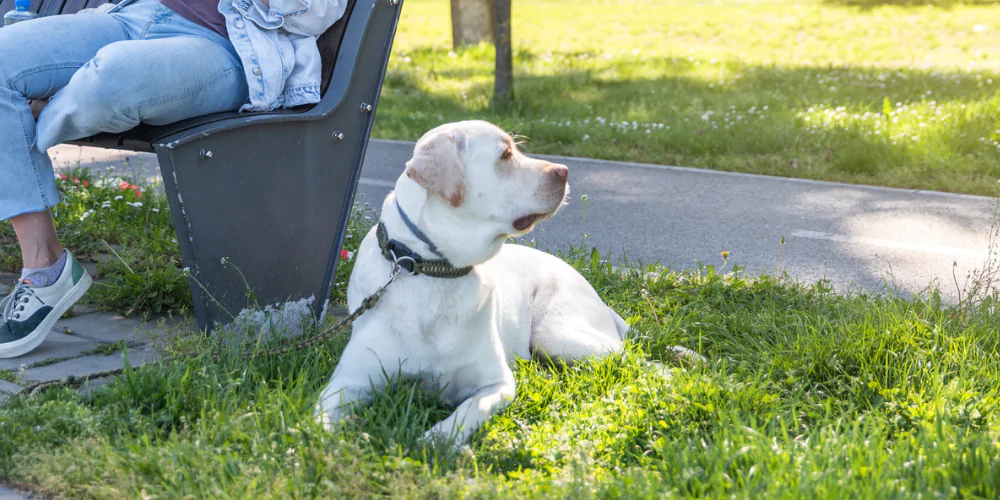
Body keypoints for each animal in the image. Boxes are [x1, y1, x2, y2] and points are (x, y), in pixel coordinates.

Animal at [316, 120, 684, 446]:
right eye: (506, 154)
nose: (564, 171)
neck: (432, 270)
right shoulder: (348, 382)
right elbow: (318, 426)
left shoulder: (496, 384)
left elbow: (466, 411)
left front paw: (437, 439)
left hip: (558, 333)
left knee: (639, 358)